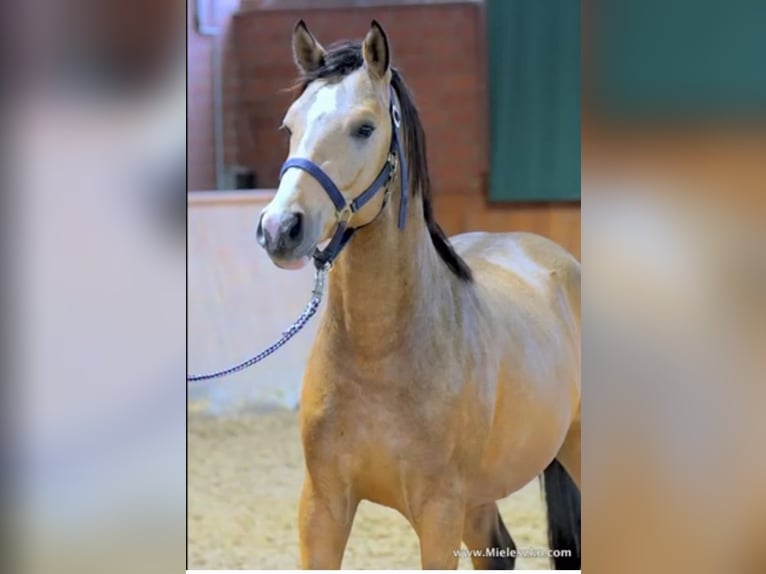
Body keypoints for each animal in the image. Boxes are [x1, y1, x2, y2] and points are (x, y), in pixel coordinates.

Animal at [258, 21, 584, 572]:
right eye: (287, 127)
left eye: (365, 129)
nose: (281, 229)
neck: (381, 352)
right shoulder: (322, 508)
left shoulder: (438, 514)